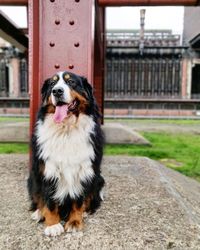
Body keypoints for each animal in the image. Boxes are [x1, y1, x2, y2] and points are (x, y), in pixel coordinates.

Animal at [27, 71, 104, 236]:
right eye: (52, 84)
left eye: (71, 82)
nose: (57, 91)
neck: (66, 129)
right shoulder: (47, 169)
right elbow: (49, 200)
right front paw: (53, 225)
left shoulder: (84, 170)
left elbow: (79, 200)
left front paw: (75, 221)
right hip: (32, 178)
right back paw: (39, 213)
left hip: (98, 178)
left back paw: (85, 212)